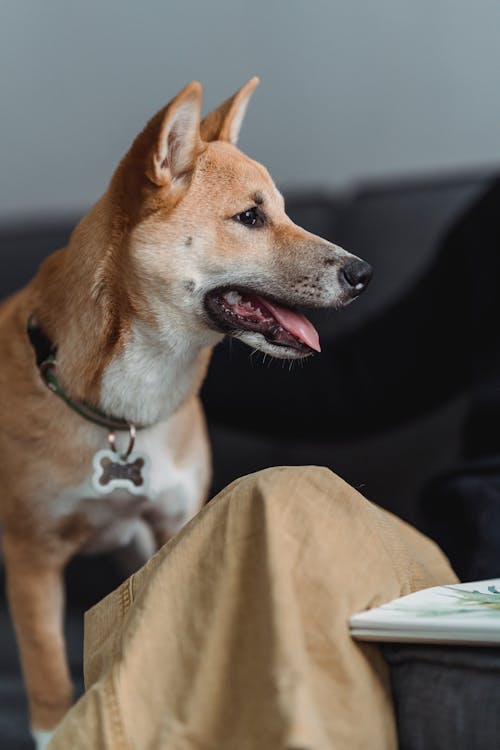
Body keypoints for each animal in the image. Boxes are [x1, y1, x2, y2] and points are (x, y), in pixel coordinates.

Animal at [0, 79, 372, 748]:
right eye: (250, 217)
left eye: (285, 211)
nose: (364, 273)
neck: (124, 412)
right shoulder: (32, 556)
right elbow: (47, 677)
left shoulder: (170, 530)